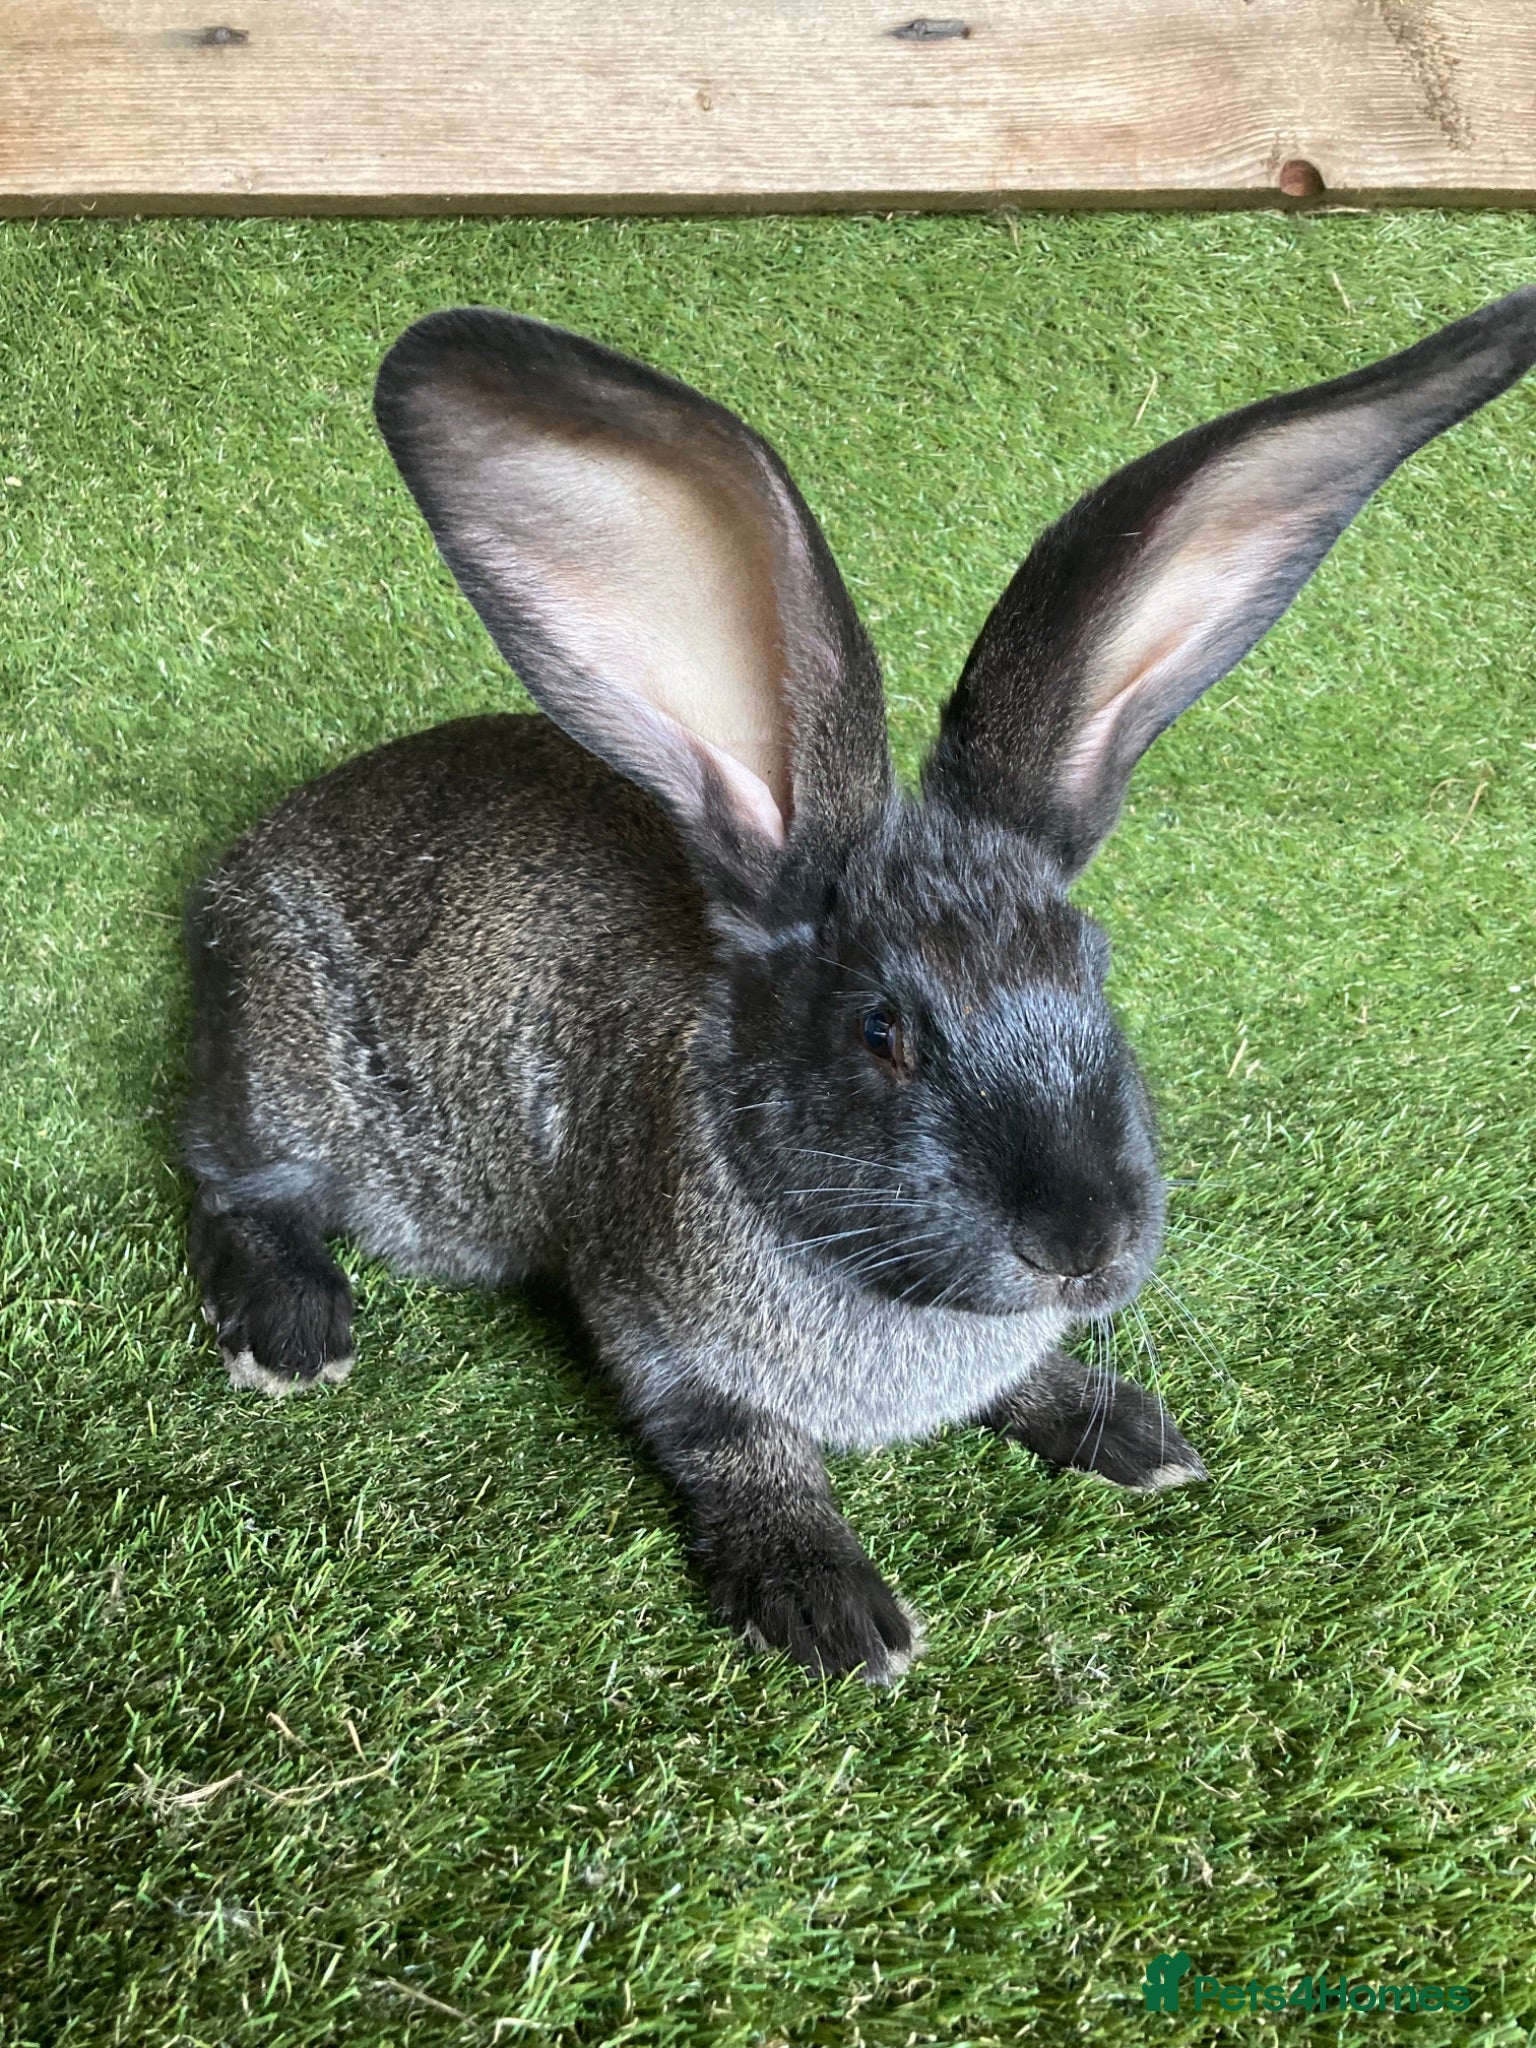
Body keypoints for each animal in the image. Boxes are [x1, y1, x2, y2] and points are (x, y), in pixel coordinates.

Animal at [184, 287, 1536, 1681]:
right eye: (882, 1030)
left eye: (1097, 972)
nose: (1084, 1247)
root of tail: (241, 868)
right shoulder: (660, 1334)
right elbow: (744, 1449)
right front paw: (833, 1607)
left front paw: (1130, 1435)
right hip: (298, 1078)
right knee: (226, 1176)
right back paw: (292, 1332)